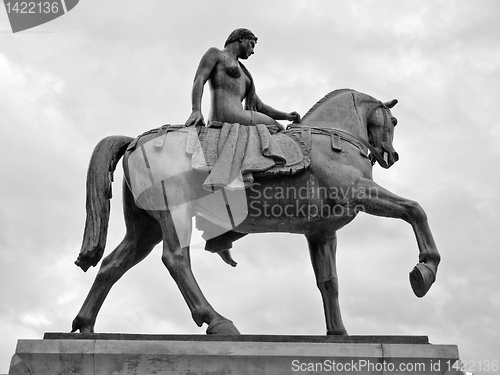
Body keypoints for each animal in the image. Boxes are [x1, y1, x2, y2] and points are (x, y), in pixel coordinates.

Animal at [72, 89, 440, 336]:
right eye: (393, 120)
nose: (391, 155)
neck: (332, 140)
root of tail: (136, 140)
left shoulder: (321, 233)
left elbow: (329, 281)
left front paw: (339, 333)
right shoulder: (358, 193)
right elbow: (415, 210)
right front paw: (424, 270)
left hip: (145, 227)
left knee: (113, 264)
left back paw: (84, 325)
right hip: (174, 211)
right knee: (175, 259)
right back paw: (217, 321)